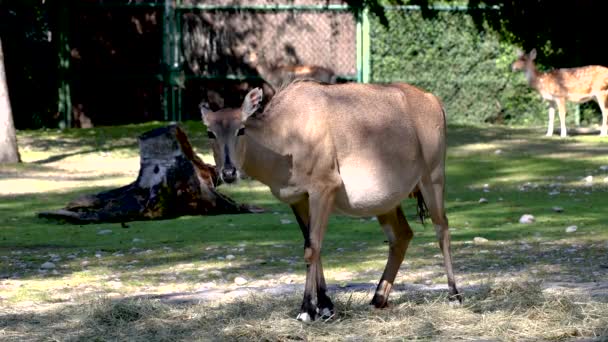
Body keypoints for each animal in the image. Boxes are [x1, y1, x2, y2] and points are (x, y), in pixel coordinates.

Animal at [200, 81, 460, 322]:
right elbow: (313, 245)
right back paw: (378, 298)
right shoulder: (299, 199)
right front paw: (325, 307)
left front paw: (307, 310)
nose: (229, 172)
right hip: (387, 202)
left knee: (442, 228)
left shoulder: (323, 189)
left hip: (432, 178)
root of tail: (433, 100)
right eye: (210, 132)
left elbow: (312, 248)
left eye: (241, 129)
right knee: (402, 236)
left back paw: (454, 295)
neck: (286, 132)